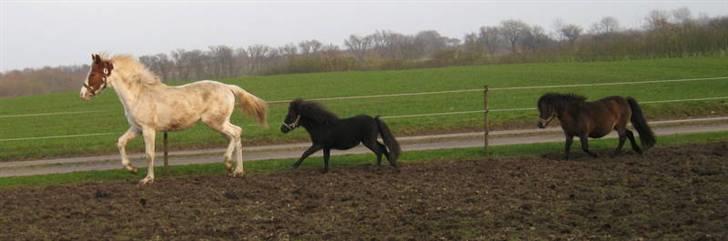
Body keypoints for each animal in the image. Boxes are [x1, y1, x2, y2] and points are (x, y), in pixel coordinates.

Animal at [80, 53, 268, 184]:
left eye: (93, 74)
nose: (82, 94)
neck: (138, 95)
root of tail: (228, 87)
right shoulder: (136, 128)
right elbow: (120, 142)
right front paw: (131, 169)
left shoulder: (148, 129)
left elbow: (149, 154)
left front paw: (147, 179)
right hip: (220, 124)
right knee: (236, 135)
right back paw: (237, 171)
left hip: (215, 122)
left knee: (236, 133)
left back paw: (229, 164)